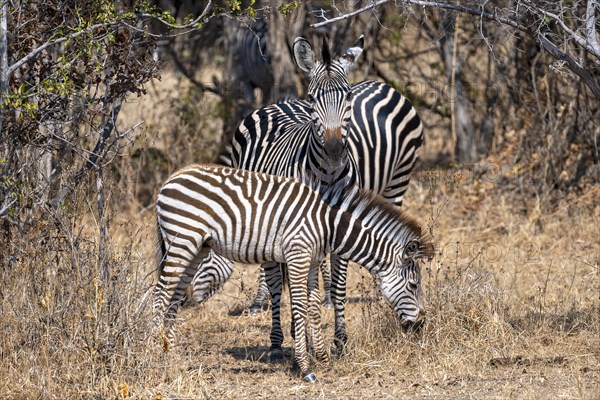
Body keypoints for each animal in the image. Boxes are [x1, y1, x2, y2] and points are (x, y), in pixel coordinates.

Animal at [152, 164, 434, 382]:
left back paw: (170, 354)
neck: (328, 225)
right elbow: (299, 307)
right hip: (183, 241)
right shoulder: (298, 256)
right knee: (160, 296)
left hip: (198, 247)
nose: (420, 325)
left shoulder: (312, 261)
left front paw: (322, 357)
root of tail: (170, 179)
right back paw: (153, 350)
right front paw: (306, 367)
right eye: (413, 285)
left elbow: (314, 308)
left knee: (174, 298)